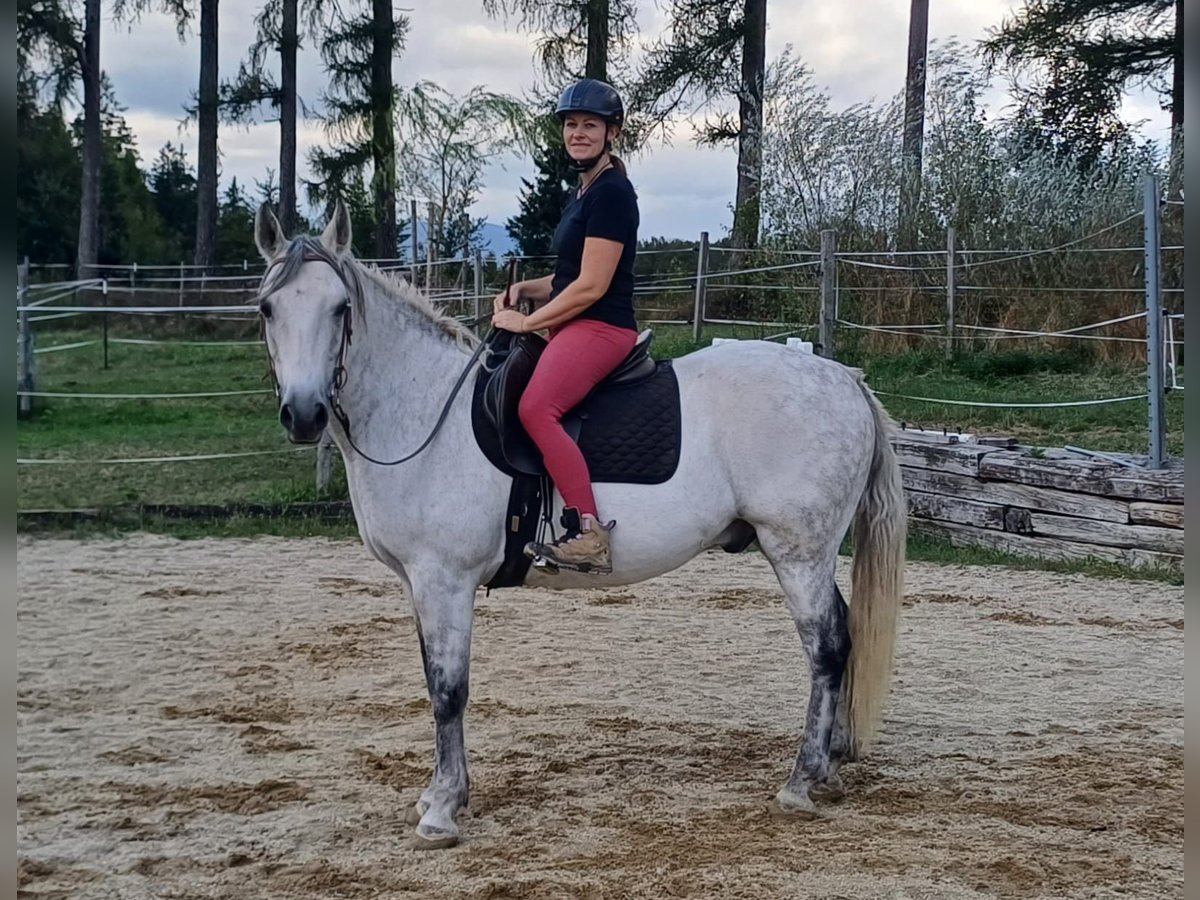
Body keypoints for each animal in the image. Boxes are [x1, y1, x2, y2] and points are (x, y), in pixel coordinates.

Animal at [255, 200, 907, 849]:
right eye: (267, 308)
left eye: (340, 308)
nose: (304, 415)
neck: (422, 409)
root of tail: (845, 381)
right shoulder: (419, 583)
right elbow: (434, 681)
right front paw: (442, 793)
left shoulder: (444, 579)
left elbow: (448, 690)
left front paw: (442, 809)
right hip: (812, 554)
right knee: (843, 637)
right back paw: (828, 766)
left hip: (798, 551)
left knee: (827, 647)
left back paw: (800, 781)